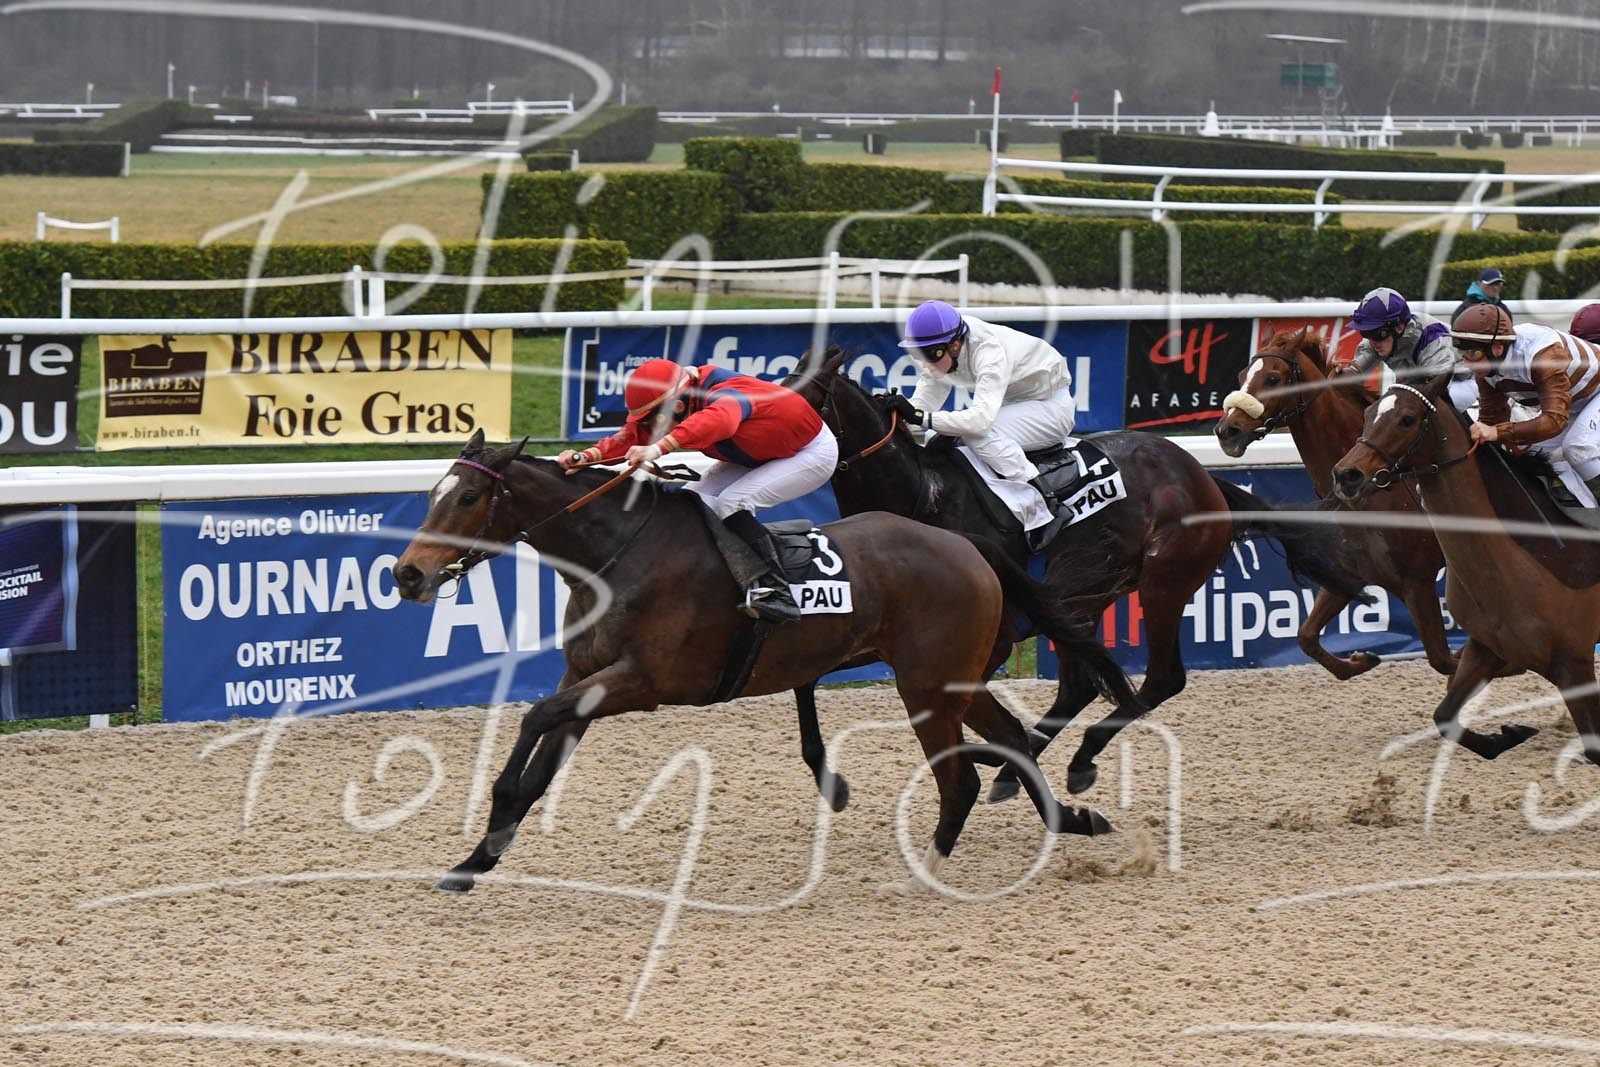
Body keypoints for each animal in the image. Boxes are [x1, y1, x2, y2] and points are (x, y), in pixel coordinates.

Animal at [393, 431, 1144, 893]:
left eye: (467, 497)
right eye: (432, 494)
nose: (406, 575)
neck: (617, 553)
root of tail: (965, 544)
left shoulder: (641, 681)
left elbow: (533, 720)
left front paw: (485, 836)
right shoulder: (586, 678)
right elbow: (539, 765)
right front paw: (475, 858)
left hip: (927, 684)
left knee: (958, 778)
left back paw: (923, 872)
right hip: (954, 677)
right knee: (1011, 739)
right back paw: (1076, 821)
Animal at [784, 346, 1374, 799]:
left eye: (805, 400)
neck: (923, 495)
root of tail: (1201, 475)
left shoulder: (989, 630)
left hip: (1162, 581)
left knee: (1159, 679)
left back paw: (1073, 757)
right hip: (1081, 597)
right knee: (1079, 685)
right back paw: (1017, 770)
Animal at [1213, 327, 1458, 679]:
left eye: (1273, 378)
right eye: (1242, 375)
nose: (1226, 431)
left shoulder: (1418, 580)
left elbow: (1447, 658)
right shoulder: (1345, 575)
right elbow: (1306, 636)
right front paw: (1362, 659)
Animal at [1331, 374, 1600, 761]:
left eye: (1407, 419)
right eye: (1368, 414)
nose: (1346, 475)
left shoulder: (1573, 664)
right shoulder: (1486, 647)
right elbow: (1444, 715)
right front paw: (1508, 734)